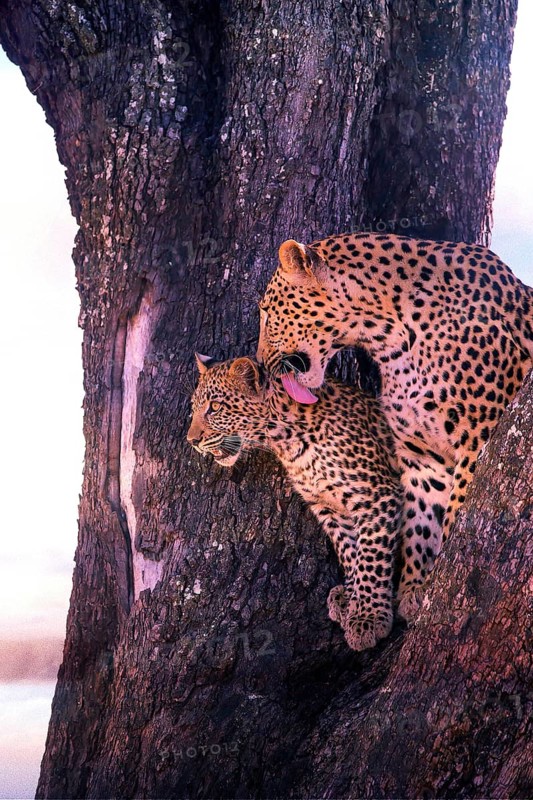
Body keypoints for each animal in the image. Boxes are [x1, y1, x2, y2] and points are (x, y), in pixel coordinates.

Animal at [187, 353, 407, 652]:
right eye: (194, 408)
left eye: (216, 407)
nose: (192, 440)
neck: (285, 442)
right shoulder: (327, 506)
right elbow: (349, 551)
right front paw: (350, 599)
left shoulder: (375, 494)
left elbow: (371, 558)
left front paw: (368, 618)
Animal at [256, 232, 533, 621]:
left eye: (268, 312)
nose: (260, 363)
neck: (389, 337)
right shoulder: (423, 458)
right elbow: (422, 525)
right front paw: (415, 587)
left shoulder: (479, 436)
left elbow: (456, 513)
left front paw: (432, 581)